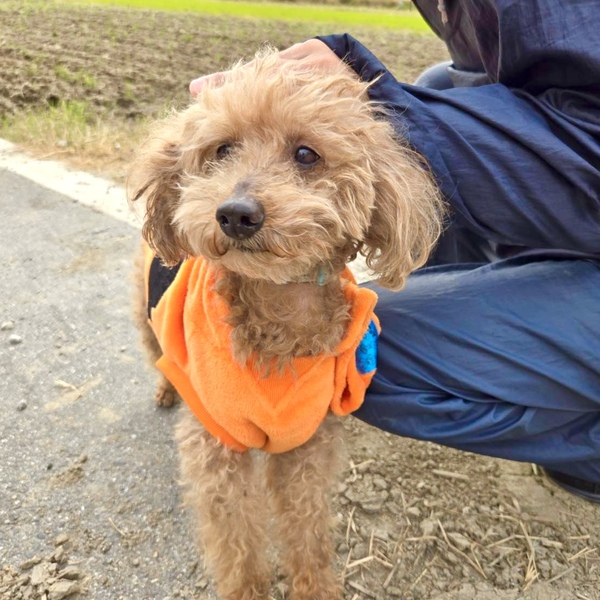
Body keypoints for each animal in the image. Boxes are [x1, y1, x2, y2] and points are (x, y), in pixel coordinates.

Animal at [128, 49, 443, 600]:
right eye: (222, 149)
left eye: (306, 155)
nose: (235, 213)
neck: (278, 311)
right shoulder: (218, 448)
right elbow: (236, 541)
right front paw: (249, 588)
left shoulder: (305, 444)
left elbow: (307, 525)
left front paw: (315, 584)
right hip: (147, 318)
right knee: (159, 354)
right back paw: (168, 389)